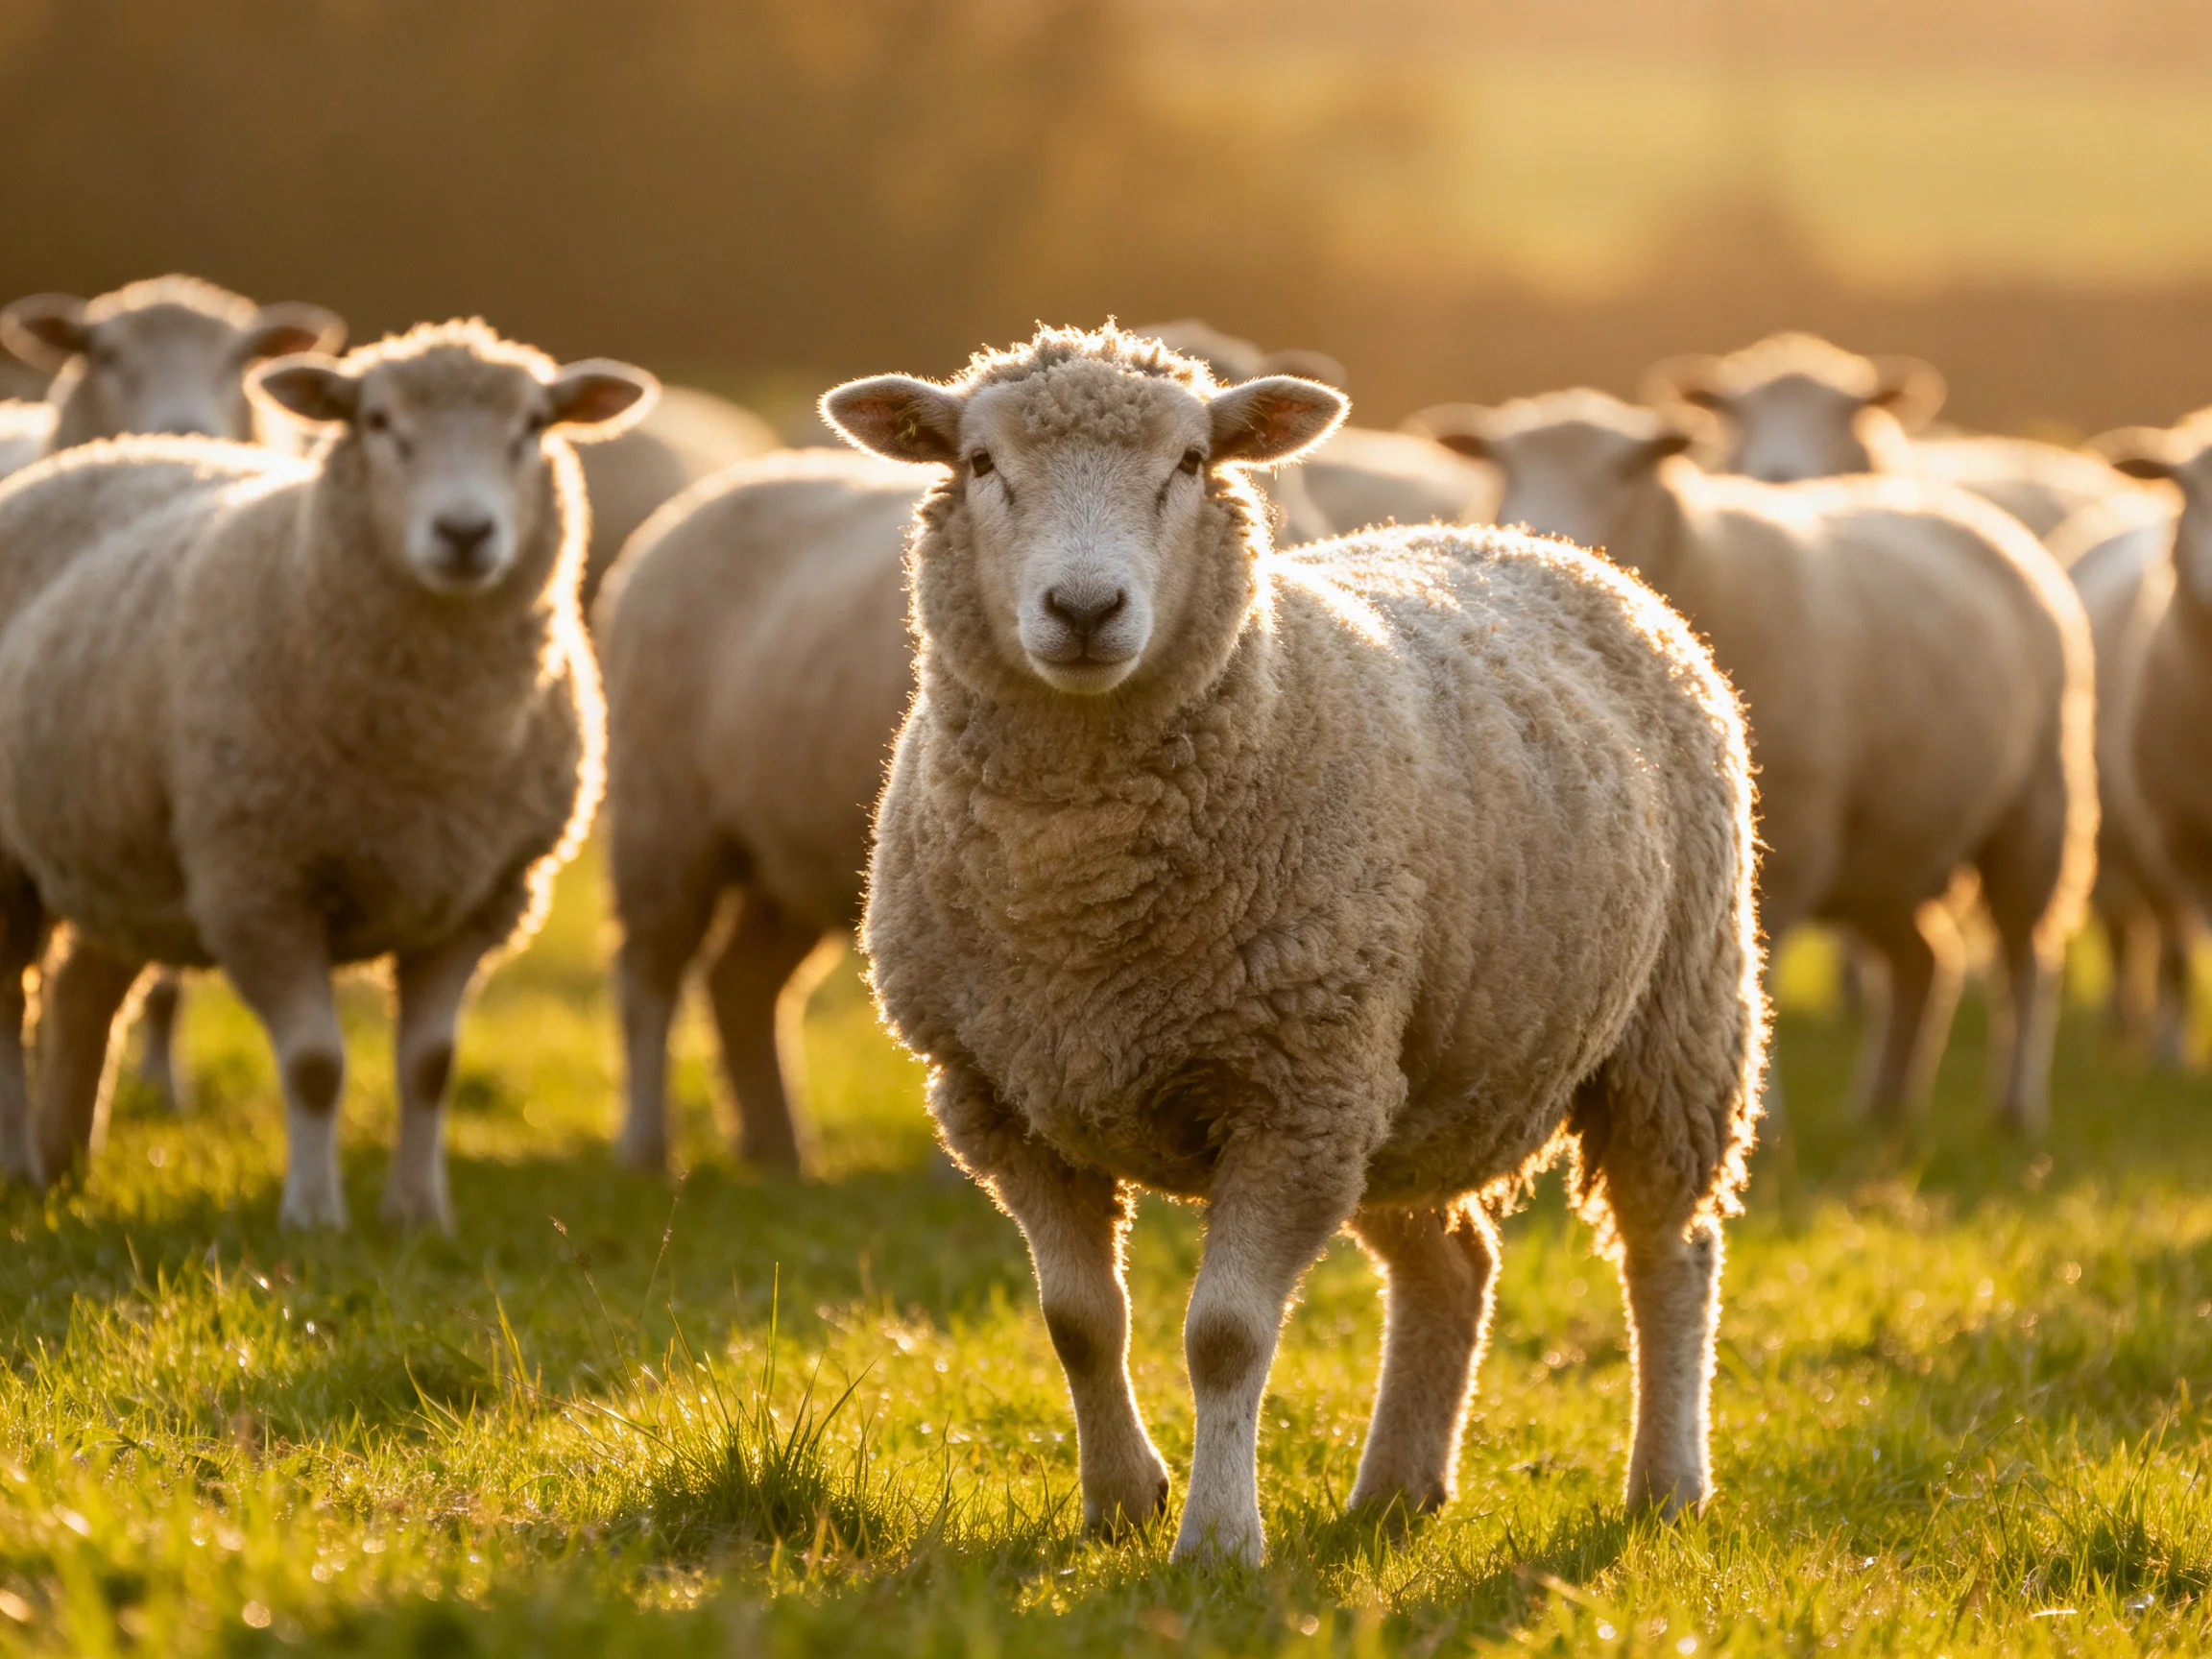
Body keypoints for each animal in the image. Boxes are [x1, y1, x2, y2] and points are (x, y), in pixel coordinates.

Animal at [0, 319, 653, 1231]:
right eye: (376, 421)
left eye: (533, 425)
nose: (464, 532)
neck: (433, 745)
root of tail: (120, 449)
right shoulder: (260, 886)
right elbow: (314, 1066)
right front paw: (313, 1217)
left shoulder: (485, 897)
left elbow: (431, 1066)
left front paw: (418, 1214)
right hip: (19, 862)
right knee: (10, 1004)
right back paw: (19, 1165)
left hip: (123, 850)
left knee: (84, 991)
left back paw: (64, 1165)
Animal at [598, 447, 926, 1173]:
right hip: (663, 816)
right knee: (648, 974)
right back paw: (645, 1148)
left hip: (789, 858)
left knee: (740, 983)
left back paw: (778, 1152)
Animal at [824, 324, 1765, 1564]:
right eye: (980, 462)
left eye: (1189, 462)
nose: (1085, 608)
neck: (1077, 895)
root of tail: (1544, 546)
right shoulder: (1003, 1099)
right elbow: (1079, 1321)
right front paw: (1120, 1503)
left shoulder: (1287, 1096)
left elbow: (1224, 1335)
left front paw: (1219, 1542)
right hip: (1402, 1081)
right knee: (1454, 1266)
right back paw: (1397, 1491)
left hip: (1673, 1023)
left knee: (1671, 1251)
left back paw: (1666, 1484)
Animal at [1415, 390, 2097, 1132]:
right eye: (1503, 464)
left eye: (1629, 468)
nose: (1536, 528)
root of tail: (1959, 510)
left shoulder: (1789, 837)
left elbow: (1757, 973)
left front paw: (1763, 1125)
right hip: (1886, 847)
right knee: (1924, 959)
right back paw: (1882, 1109)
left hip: (2036, 810)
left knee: (2027, 959)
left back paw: (2016, 1108)